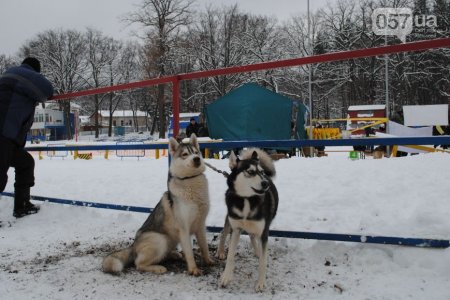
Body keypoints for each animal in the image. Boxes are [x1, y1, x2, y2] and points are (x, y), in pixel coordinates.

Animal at [103, 135, 214, 276]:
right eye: (185, 154)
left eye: (196, 152)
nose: (197, 159)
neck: (190, 181)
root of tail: (133, 245)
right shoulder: (184, 229)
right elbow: (189, 253)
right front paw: (193, 269)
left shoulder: (201, 226)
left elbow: (204, 247)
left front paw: (208, 261)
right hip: (161, 240)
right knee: (138, 264)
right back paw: (158, 268)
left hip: (171, 240)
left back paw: (174, 254)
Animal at [218, 149, 278, 292]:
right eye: (250, 172)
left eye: (261, 172)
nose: (266, 183)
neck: (247, 199)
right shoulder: (236, 229)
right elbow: (230, 256)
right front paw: (226, 277)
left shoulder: (264, 232)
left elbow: (263, 262)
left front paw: (260, 282)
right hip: (229, 220)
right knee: (224, 233)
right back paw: (221, 251)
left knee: (252, 236)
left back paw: (258, 252)